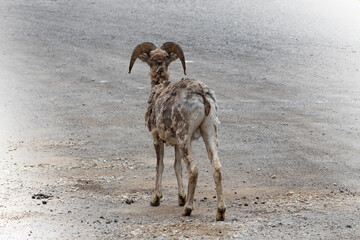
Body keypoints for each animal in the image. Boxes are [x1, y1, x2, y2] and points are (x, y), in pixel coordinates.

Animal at [129, 42, 225, 220]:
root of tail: (202, 94)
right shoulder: (176, 144)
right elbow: (176, 166)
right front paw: (181, 198)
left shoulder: (157, 138)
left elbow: (160, 165)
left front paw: (156, 199)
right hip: (209, 132)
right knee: (216, 167)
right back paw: (220, 212)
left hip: (184, 137)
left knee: (193, 170)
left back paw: (188, 209)